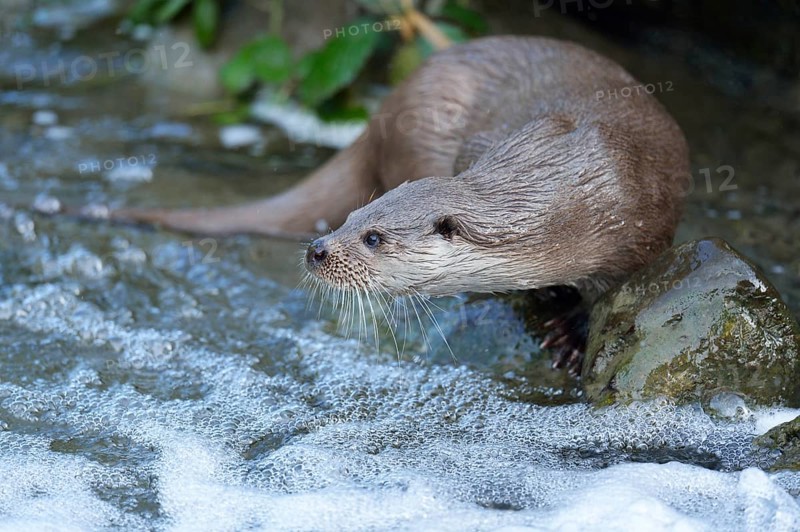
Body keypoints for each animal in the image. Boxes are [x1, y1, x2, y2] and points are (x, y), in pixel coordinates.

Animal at [111, 36, 690, 371]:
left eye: (374, 237)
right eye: (350, 218)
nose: (317, 249)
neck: (565, 195)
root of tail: (383, 113)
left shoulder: (642, 225)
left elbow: (612, 292)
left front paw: (573, 332)